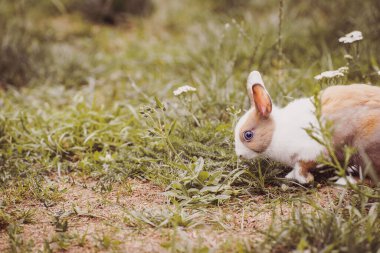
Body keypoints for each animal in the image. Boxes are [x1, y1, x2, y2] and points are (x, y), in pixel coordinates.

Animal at [235, 70, 380, 184]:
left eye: (248, 135)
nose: (239, 155)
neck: (276, 132)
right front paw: (290, 176)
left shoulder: (312, 151)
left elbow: (301, 166)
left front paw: (305, 179)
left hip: (363, 150)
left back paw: (346, 181)